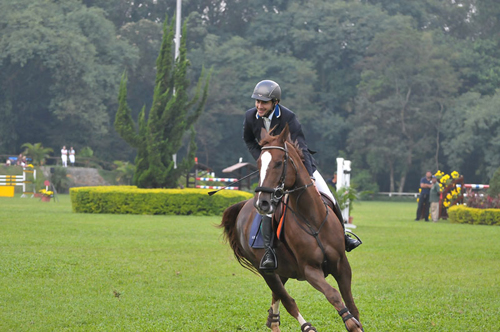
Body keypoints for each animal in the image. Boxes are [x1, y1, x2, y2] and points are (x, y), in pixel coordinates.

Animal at [219, 125, 364, 332]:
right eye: (258, 165)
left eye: (279, 163)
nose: (262, 203)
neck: (312, 219)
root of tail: (243, 206)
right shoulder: (310, 270)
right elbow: (333, 294)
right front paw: (351, 322)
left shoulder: (342, 264)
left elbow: (350, 302)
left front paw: (355, 322)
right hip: (267, 272)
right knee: (288, 301)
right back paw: (306, 327)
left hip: (283, 271)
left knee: (276, 299)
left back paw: (273, 321)